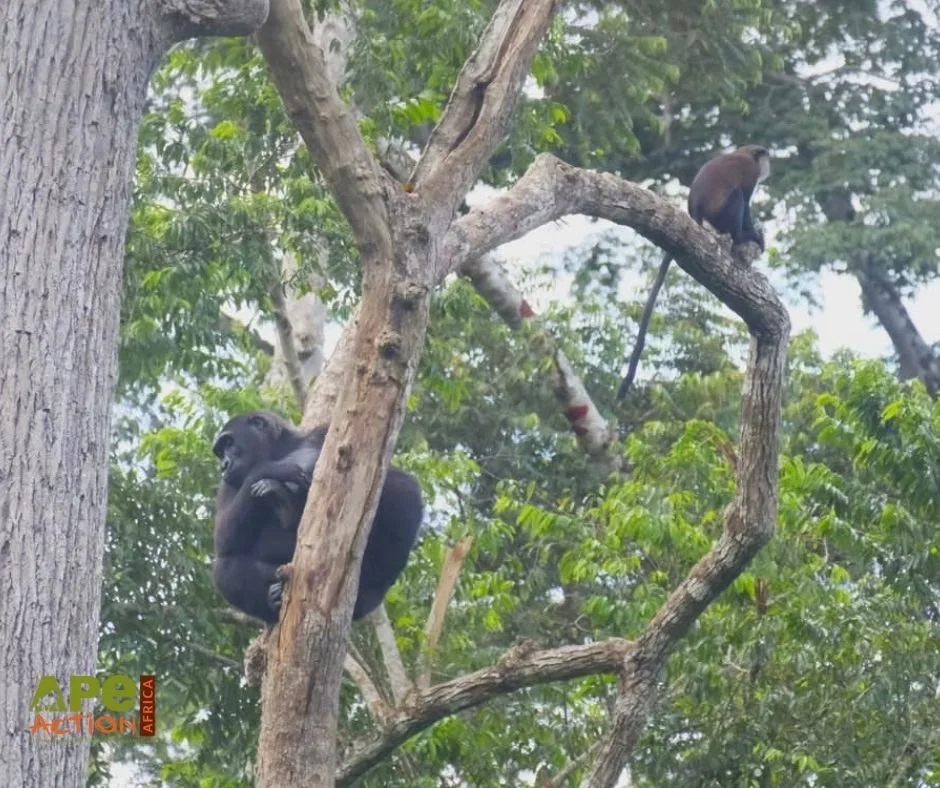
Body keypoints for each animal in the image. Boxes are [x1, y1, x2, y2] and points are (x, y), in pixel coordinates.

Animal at [211, 410, 424, 623]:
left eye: (229, 443)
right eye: (220, 451)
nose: (224, 465)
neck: (279, 449)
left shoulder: (323, 431)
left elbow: (386, 476)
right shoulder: (228, 484)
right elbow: (224, 540)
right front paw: (272, 469)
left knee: (404, 489)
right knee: (223, 570)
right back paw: (273, 601)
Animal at [617, 145, 771, 402]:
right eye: (765, 157)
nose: (770, 165)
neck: (745, 153)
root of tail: (695, 212)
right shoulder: (750, 172)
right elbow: (746, 203)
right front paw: (753, 235)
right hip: (722, 213)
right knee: (738, 197)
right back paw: (741, 238)